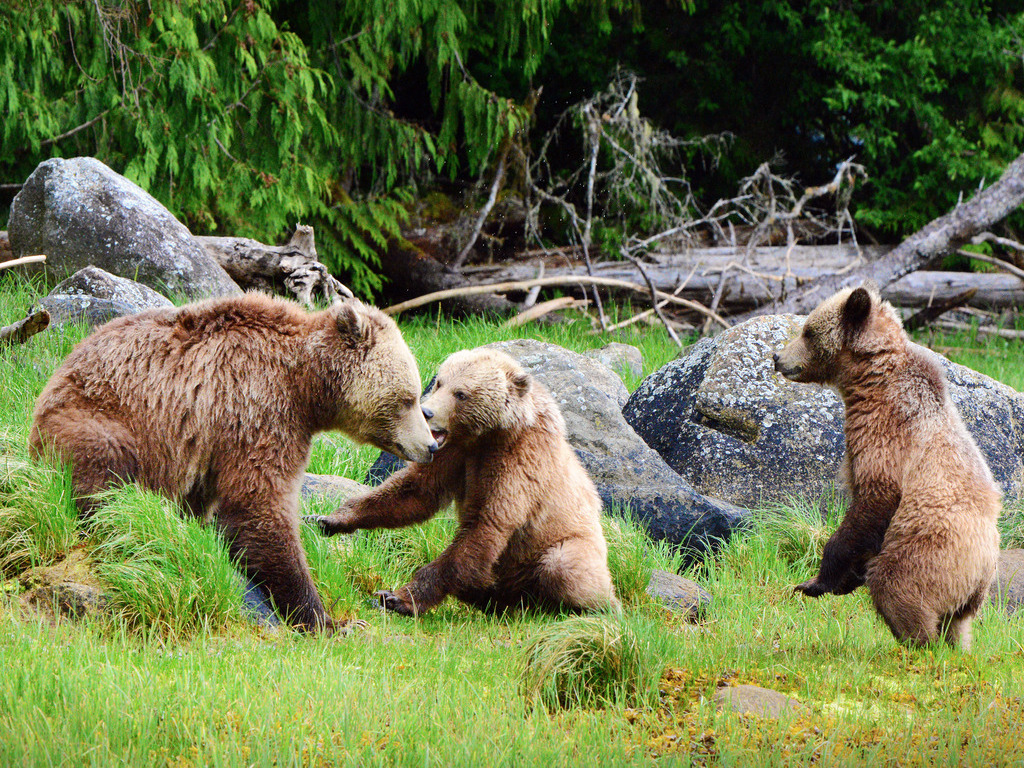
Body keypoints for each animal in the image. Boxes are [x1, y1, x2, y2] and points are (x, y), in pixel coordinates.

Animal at [29, 292, 438, 633]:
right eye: (409, 398)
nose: (431, 445)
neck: (305, 386)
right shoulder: (259, 407)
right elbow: (259, 502)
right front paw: (327, 619)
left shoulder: (214, 439)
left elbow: (210, 499)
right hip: (99, 417)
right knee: (103, 480)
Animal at [309, 347, 619, 617]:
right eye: (439, 382)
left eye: (461, 393)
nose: (426, 412)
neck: (487, 437)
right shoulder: (454, 453)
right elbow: (414, 492)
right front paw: (329, 518)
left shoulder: (519, 465)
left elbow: (484, 526)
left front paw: (397, 597)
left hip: (566, 548)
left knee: (563, 568)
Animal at [773, 285, 1001, 649]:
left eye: (808, 331)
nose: (777, 358)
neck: (870, 383)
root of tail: (982, 574)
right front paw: (840, 580)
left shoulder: (886, 435)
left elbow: (873, 501)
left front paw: (814, 582)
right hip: (966, 595)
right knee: (957, 625)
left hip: (929, 551)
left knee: (896, 586)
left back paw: (916, 643)